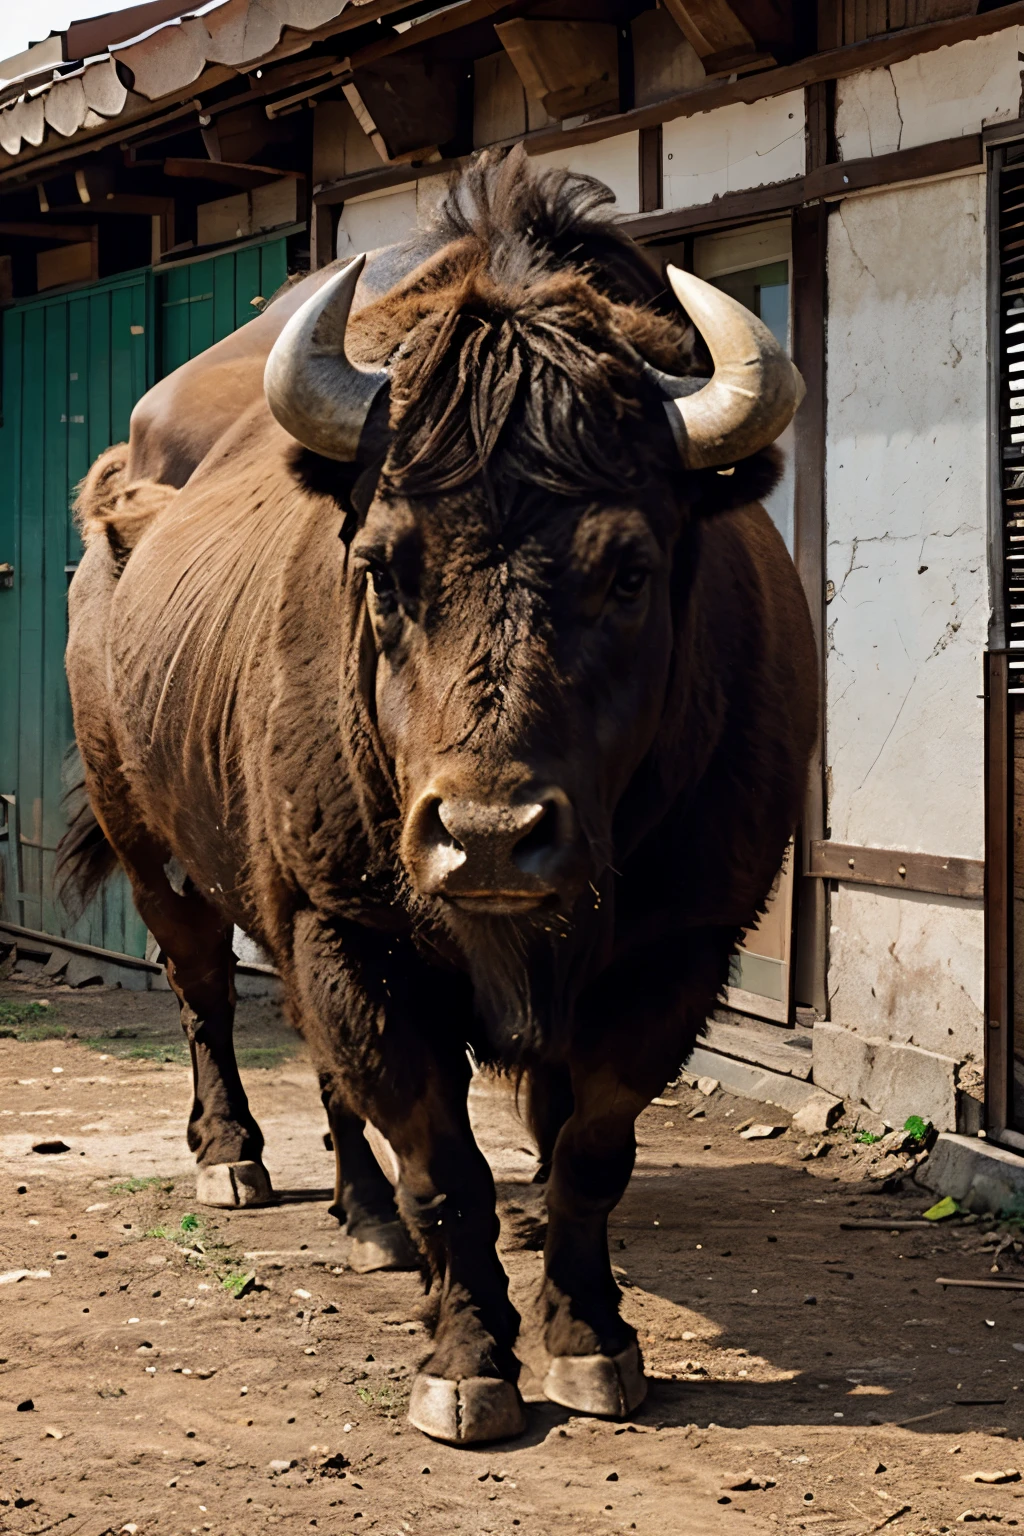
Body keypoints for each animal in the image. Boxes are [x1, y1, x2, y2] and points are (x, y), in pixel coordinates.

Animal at [62, 149, 816, 1443]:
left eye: (630, 568)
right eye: (380, 565)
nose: (491, 838)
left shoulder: (679, 945)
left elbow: (589, 1148)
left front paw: (591, 1339)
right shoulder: (350, 926)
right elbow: (441, 1162)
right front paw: (467, 1362)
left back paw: (363, 1216)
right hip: (158, 843)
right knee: (204, 988)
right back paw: (235, 1157)